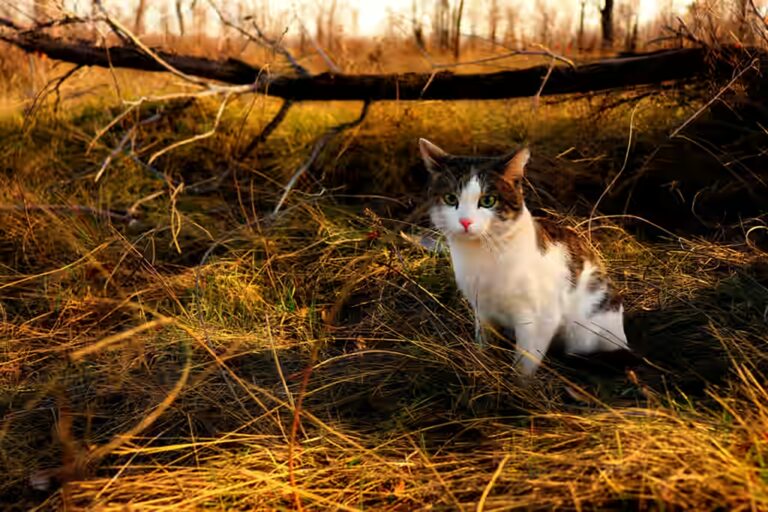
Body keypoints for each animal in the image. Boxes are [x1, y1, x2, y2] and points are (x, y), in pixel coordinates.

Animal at [420, 138, 632, 378]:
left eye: (488, 200)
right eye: (450, 198)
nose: (465, 221)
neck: (484, 254)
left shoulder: (540, 319)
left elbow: (525, 363)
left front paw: (518, 383)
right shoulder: (481, 309)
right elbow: (483, 342)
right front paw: (481, 361)